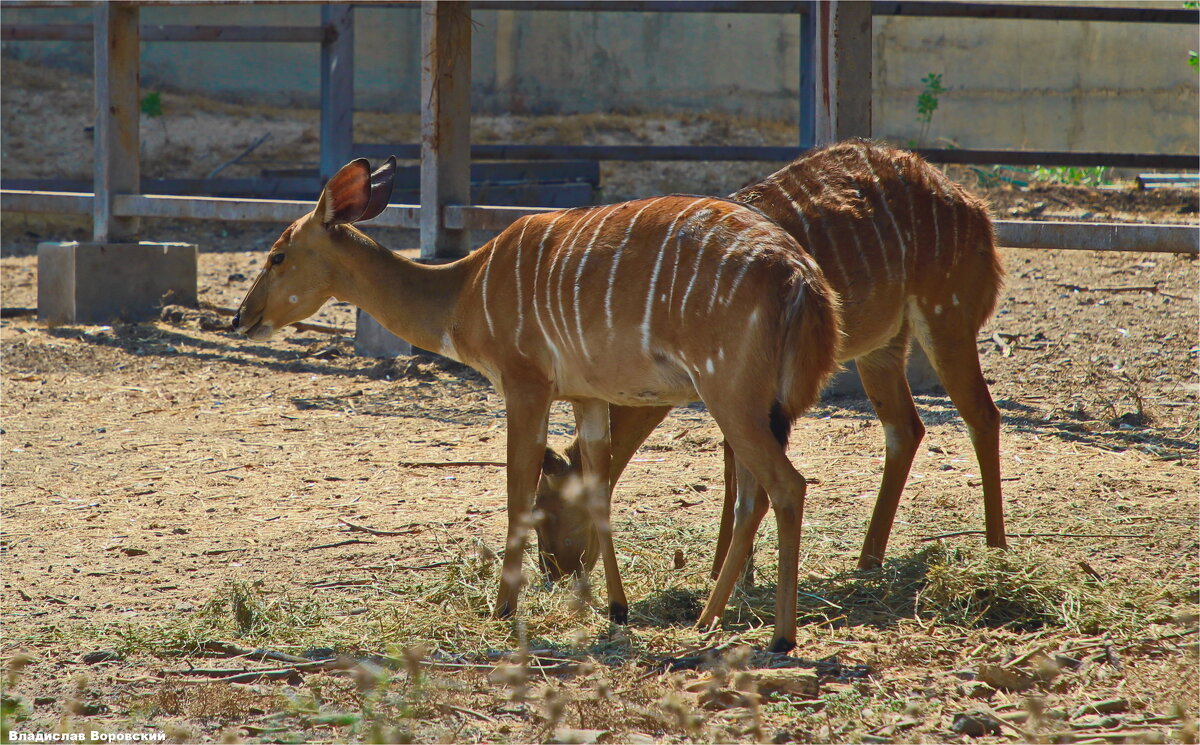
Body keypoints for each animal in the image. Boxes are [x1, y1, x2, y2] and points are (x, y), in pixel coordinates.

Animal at [229, 155, 840, 652]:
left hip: (728, 394)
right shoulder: (587, 395)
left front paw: (503, 607)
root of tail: (799, 275)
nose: (240, 318)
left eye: (278, 255)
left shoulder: (525, 384)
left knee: (787, 486)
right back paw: (705, 620)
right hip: (757, 406)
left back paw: (781, 637)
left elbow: (517, 487)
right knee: (753, 498)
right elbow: (598, 487)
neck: (465, 291)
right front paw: (614, 608)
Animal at [535, 137, 1003, 580]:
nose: (555, 571)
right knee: (905, 429)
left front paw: (730, 572)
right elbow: (733, 470)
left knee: (982, 414)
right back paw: (868, 559)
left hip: (946, 317)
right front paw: (727, 570)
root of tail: (977, 210)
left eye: (544, 509)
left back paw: (996, 548)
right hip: (882, 346)